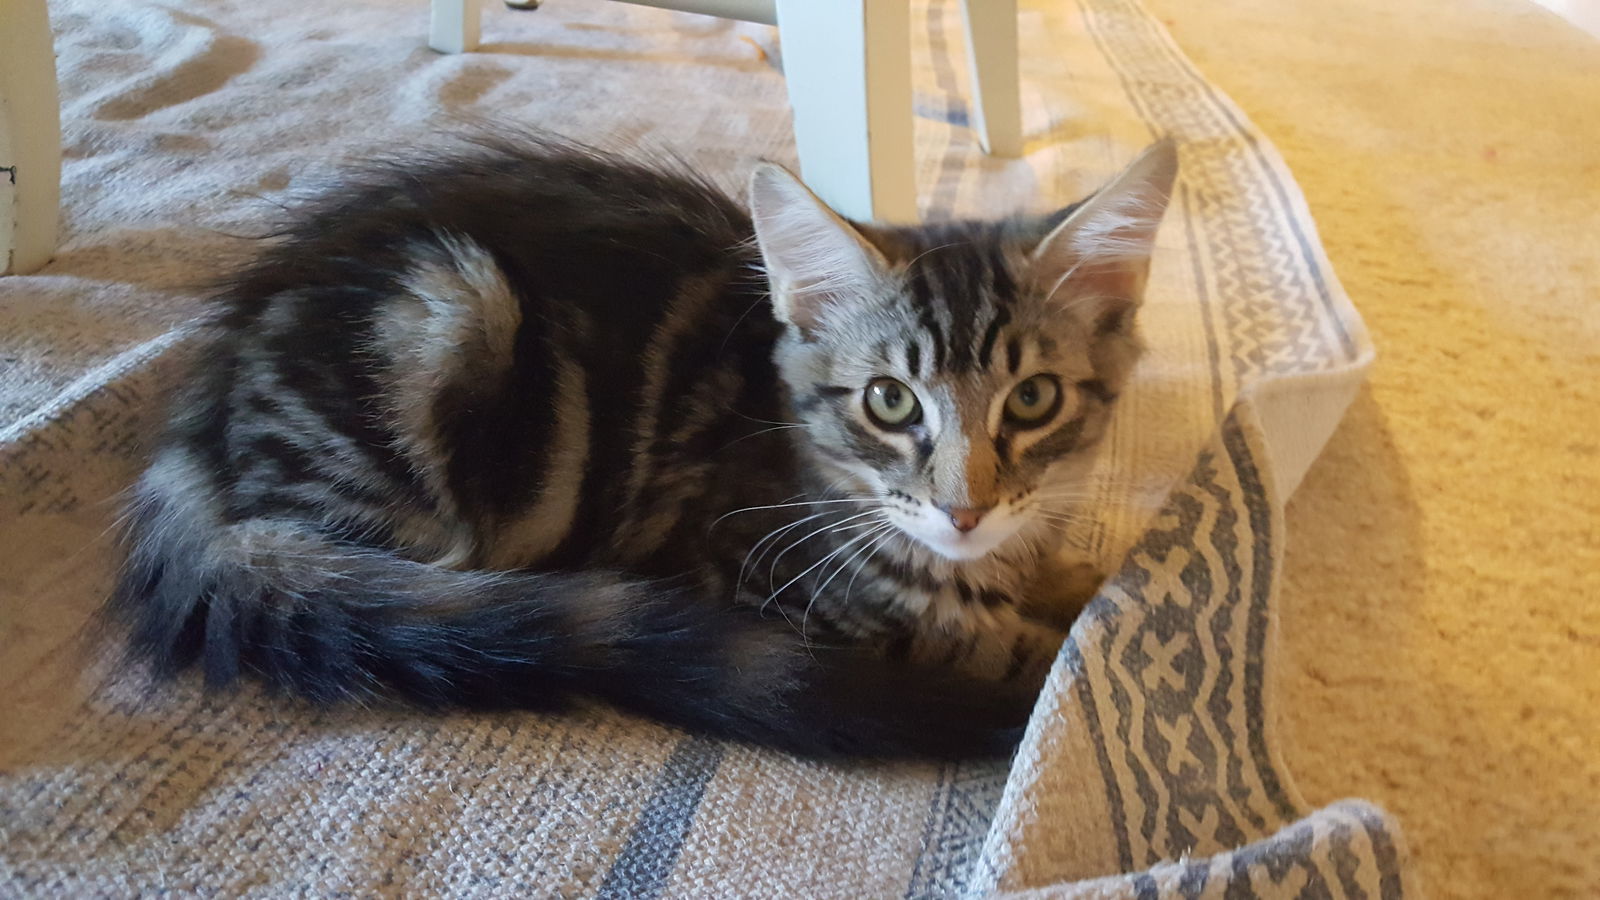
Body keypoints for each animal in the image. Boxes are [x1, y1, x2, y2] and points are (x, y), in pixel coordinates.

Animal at [103, 134, 1177, 755]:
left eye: (1032, 399)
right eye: (890, 402)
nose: (966, 508)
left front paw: (1087, 583)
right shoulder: (749, 572)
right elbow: (991, 643)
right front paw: (1056, 645)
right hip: (443, 315)